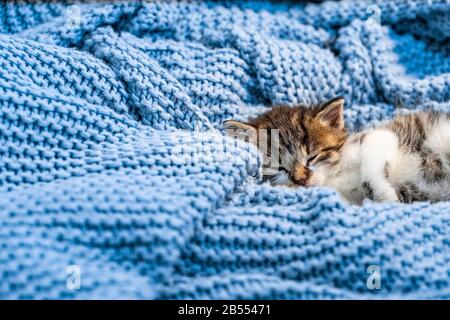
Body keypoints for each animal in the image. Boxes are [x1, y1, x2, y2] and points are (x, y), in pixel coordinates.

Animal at [223, 96, 448, 204]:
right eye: (280, 169)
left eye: (312, 156)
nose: (302, 180)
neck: (333, 177)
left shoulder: (383, 136)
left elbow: (370, 167)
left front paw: (384, 195)